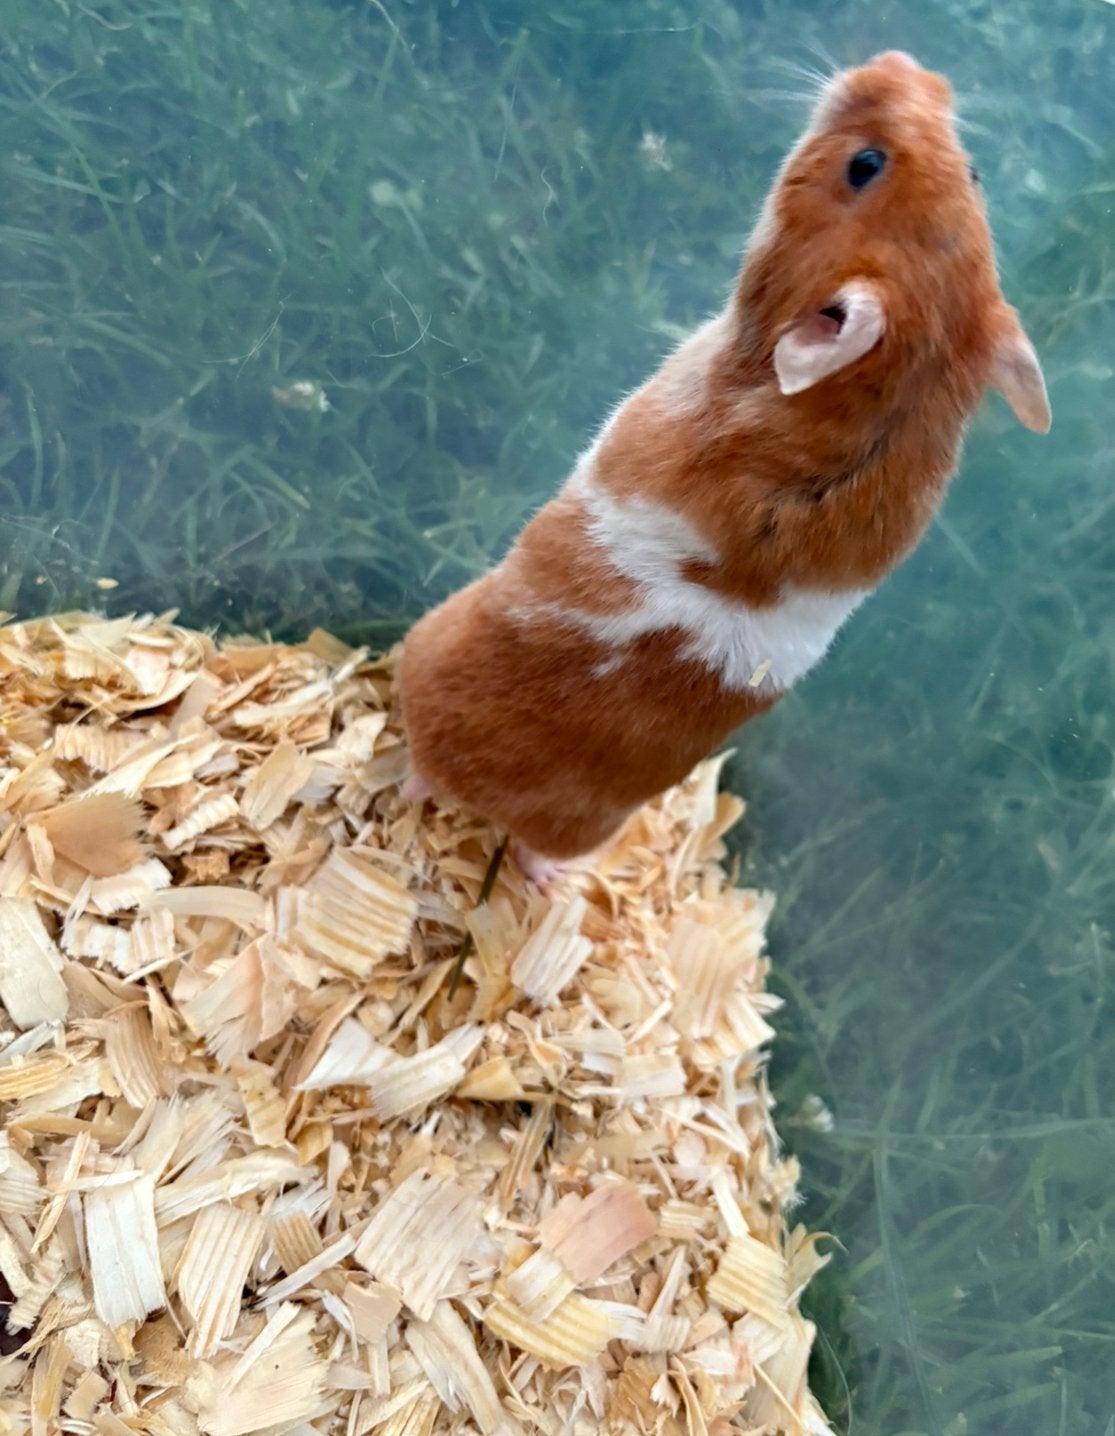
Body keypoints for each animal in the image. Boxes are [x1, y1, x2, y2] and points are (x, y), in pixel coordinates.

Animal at [400, 50, 1050, 879]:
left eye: (863, 167)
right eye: (974, 170)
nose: (901, 62)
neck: (895, 403)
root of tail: (487, 795)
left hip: (424, 653)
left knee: (427, 773)